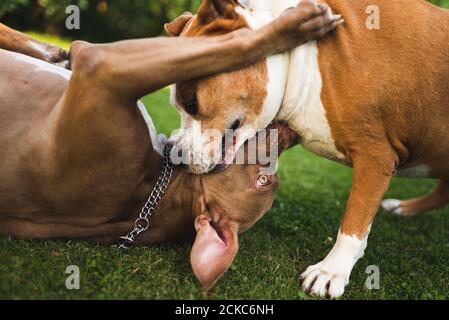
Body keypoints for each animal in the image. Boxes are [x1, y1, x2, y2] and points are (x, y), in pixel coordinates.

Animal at [168, 0, 448, 298]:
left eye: (192, 103)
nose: (173, 153)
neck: (299, 61)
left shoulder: (376, 156)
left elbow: (354, 221)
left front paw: (331, 271)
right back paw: (405, 208)